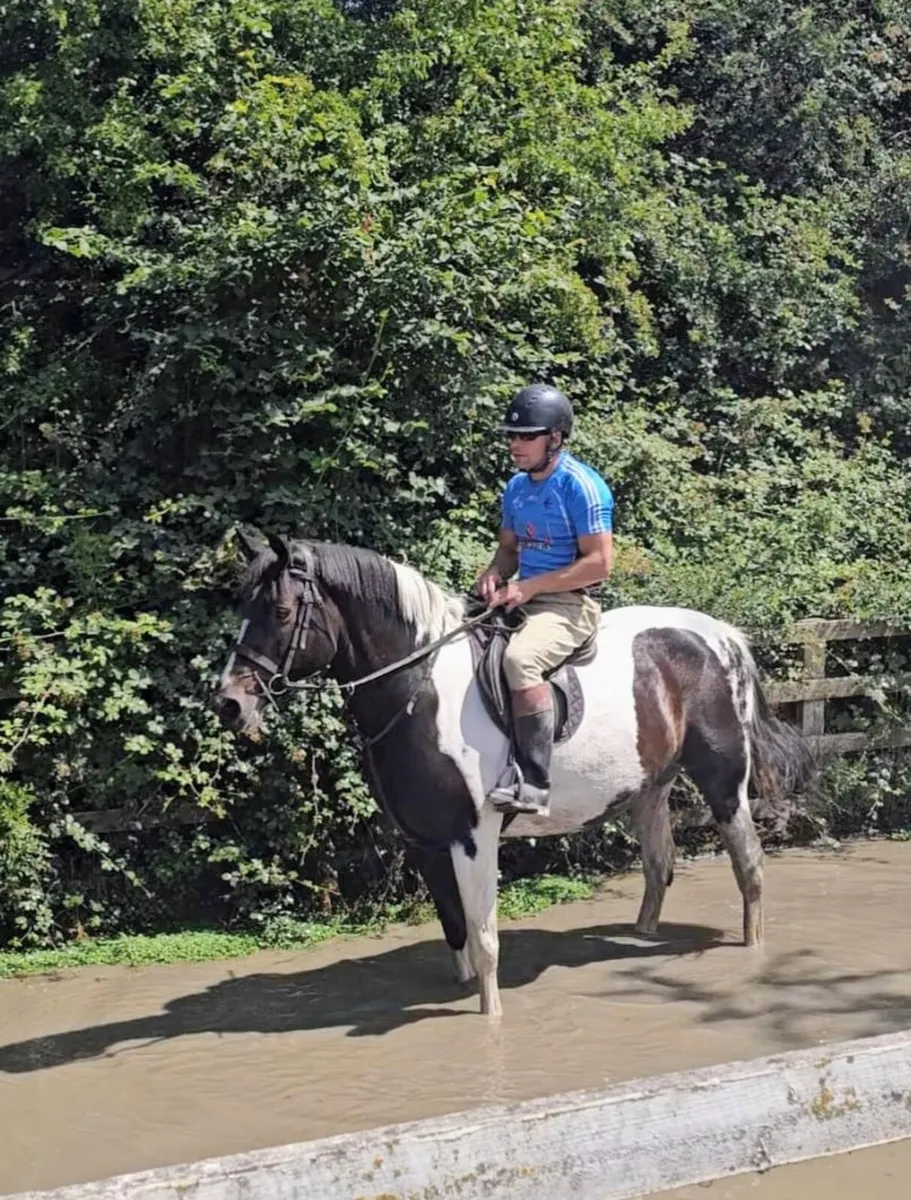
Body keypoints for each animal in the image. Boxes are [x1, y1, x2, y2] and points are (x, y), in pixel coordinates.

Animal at [213, 532, 817, 1018]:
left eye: (282, 612)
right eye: (240, 605)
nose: (229, 704)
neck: (420, 688)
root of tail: (720, 635)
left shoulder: (473, 836)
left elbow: (484, 940)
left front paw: (491, 1018)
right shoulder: (424, 841)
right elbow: (456, 930)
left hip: (724, 784)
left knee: (749, 866)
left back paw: (752, 947)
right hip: (649, 787)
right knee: (658, 868)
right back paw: (642, 940)